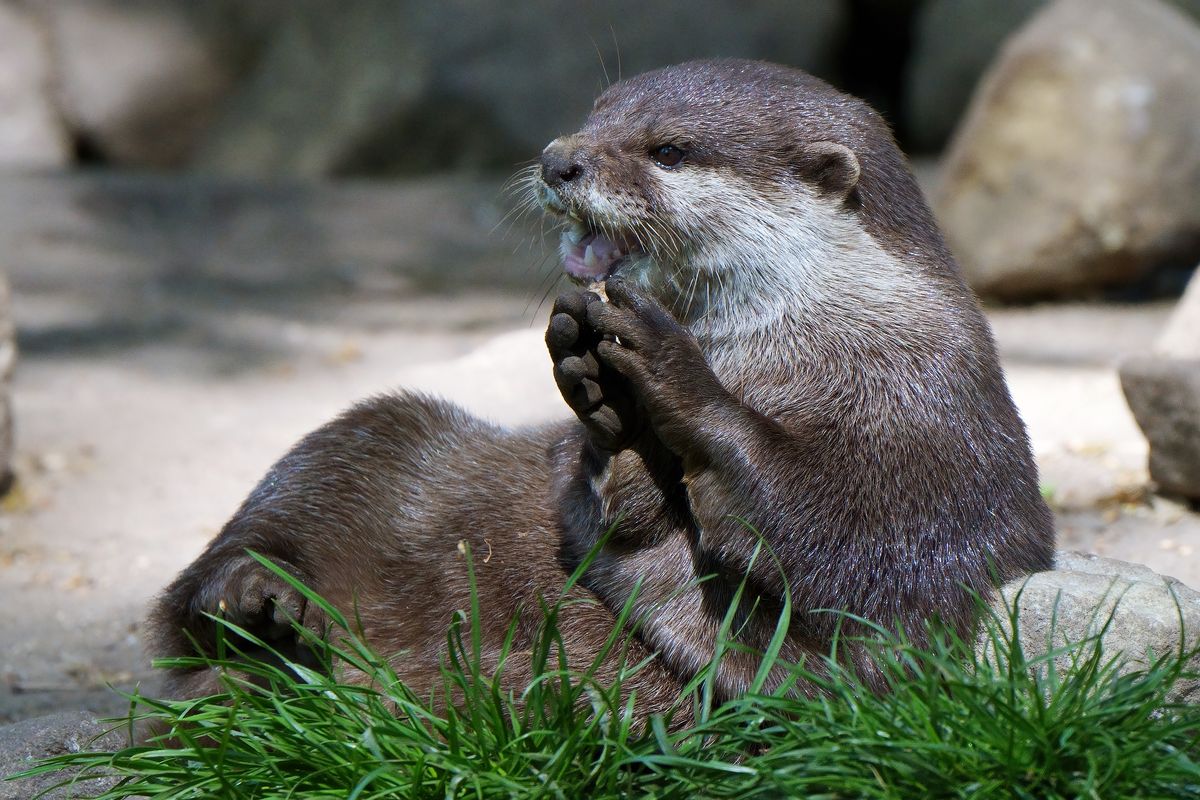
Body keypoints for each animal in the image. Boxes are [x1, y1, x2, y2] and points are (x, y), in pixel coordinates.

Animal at [147, 59, 1051, 714]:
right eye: (596, 113)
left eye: (670, 150)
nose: (560, 159)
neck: (823, 343)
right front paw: (609, 405)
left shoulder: (938, 434)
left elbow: (858, 580)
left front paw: (666, 377)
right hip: (380, 434)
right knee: (213, 579)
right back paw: (255, 600)